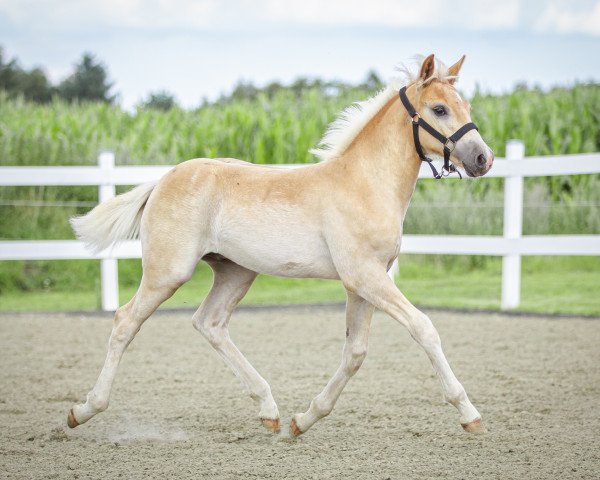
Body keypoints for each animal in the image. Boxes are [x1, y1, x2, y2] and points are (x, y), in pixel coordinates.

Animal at [68, 54, 494, 436]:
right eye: (439, 108)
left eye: (467, 106)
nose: (483, 158)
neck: (364, 184)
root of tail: (163, 179)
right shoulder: (364, 276)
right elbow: (424, 328)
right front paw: (469, 414)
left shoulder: (364, 283)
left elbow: (355, 353)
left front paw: (303, 420)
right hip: (167, 272)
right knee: (126, 321)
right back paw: (82, 410)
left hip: (235, 273)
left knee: (209, 323)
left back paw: (269, 410)